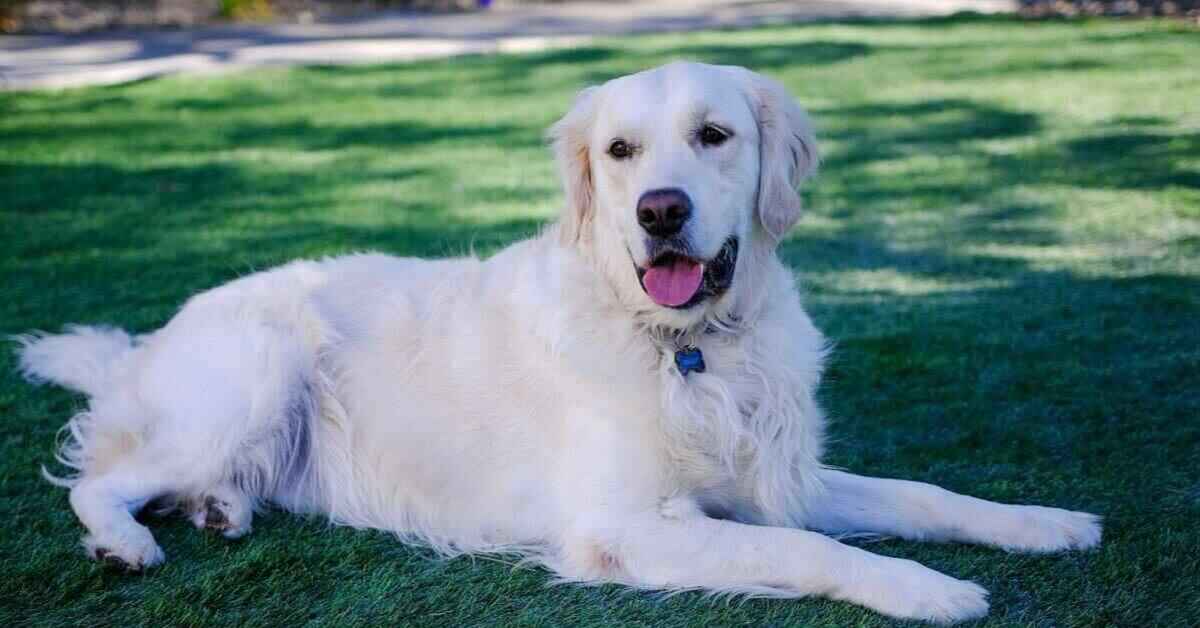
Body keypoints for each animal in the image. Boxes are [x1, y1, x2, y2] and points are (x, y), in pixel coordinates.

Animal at [14, 61, 1099, 619]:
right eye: (619, 152)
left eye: (715, 135)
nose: (660, 211)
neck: (686, 343)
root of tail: (151, 339)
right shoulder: (625, 522)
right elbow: (802, 548)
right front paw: (931, 590)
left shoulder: (776, 472)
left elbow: (922, 495)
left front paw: (1043, 522)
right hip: (253, 376)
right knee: (100, 477)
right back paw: (127, 539)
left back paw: (221, 511)